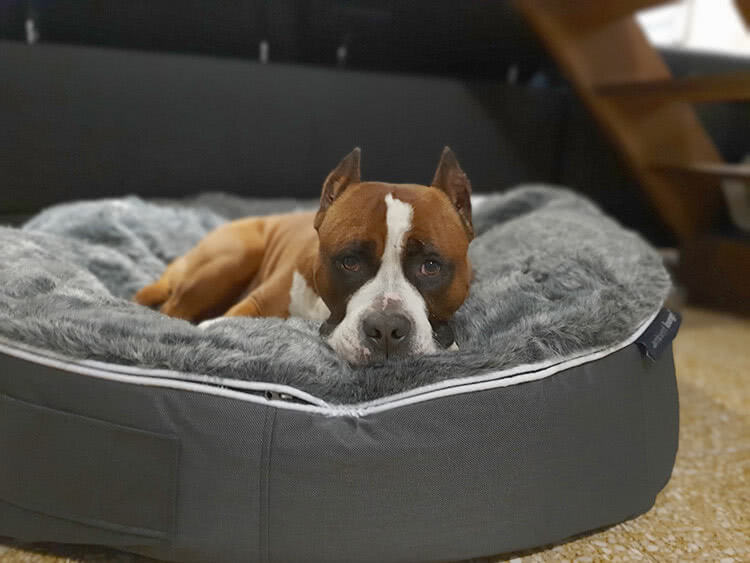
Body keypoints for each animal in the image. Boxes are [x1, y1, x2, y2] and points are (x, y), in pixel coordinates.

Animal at [135, 147, 473, 364]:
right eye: (349, 262)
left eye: (431, 266)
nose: (388, 328)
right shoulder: (251, 307)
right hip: (229, 260)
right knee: (171, 309)